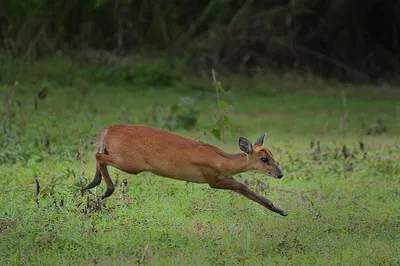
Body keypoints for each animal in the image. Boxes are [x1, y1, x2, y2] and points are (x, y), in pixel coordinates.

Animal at [82, 124, 288, 216]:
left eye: (272, 155)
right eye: (264, 159)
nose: (279, 174)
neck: (222, 160)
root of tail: (106, 130)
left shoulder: (223, 177)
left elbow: (246, 191)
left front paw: (278, 210)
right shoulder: (212, 179)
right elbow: (243, 186)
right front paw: (279, 209)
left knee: (99, 155)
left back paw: (88, 187)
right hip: (132, 163)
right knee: (99, 156)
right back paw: (105, 191)